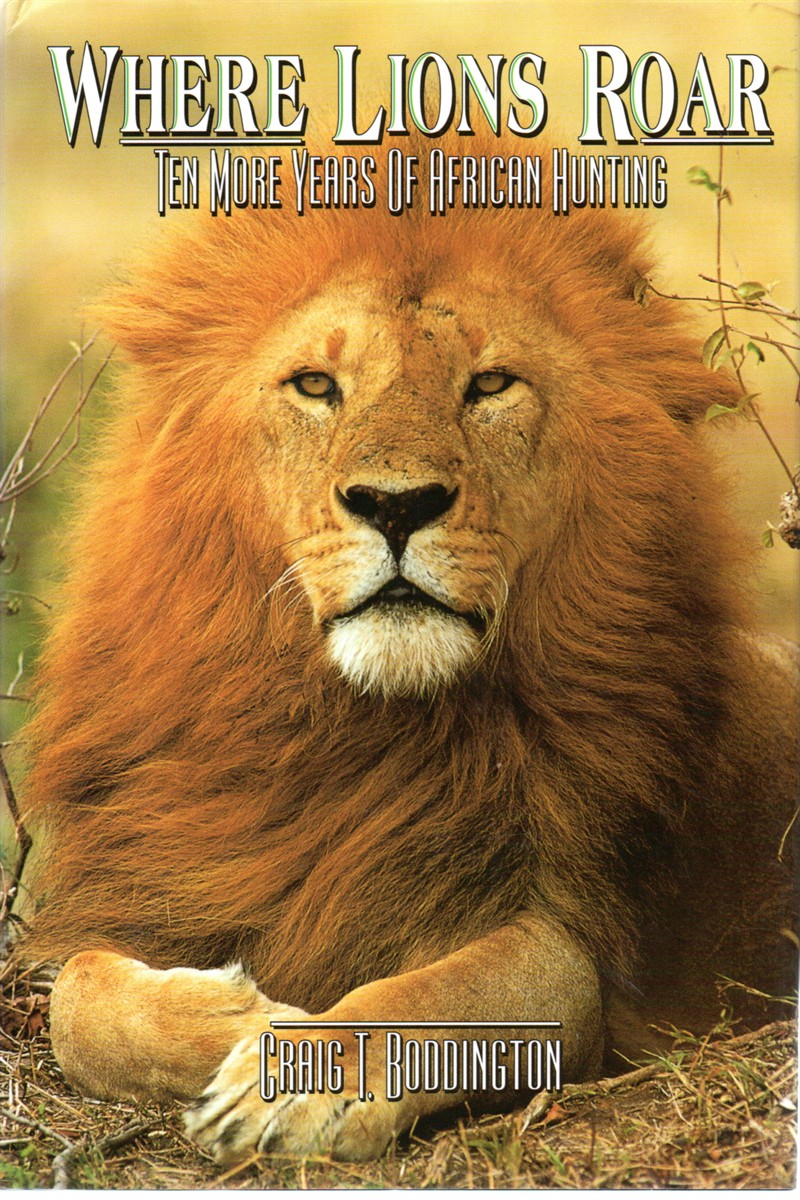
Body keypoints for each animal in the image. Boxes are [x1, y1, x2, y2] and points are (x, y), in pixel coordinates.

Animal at [18, 131, 798, 1165]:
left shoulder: (562, 938)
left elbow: (440, 996)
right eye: (316, 385)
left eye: (490, 384)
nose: (396, 504)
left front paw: (296, 1073)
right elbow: (77, 997)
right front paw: (242, 1015)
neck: (353, 728)